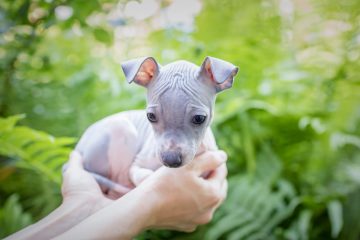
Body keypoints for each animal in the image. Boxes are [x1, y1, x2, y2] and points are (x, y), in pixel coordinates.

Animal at [71, 56, 238, 197]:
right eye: (150, 116)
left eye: (199, 118)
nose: (170, 160)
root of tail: (79, 146)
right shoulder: (137, 164)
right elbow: (141, 174)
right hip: (121, 128)